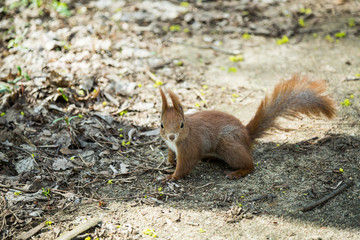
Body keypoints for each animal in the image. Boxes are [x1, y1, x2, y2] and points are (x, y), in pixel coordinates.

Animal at [159, 76, 336, 181]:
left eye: (181, 124)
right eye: (161, 124)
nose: (172, 136)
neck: (182, 137)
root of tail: (247, 135)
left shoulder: (189, 147)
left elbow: (185, 166)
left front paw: (171, 177)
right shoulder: (170, 145)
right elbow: (171, 154)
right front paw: (170, 161)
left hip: (228, 145)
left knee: (250, 165)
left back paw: (238, 172)